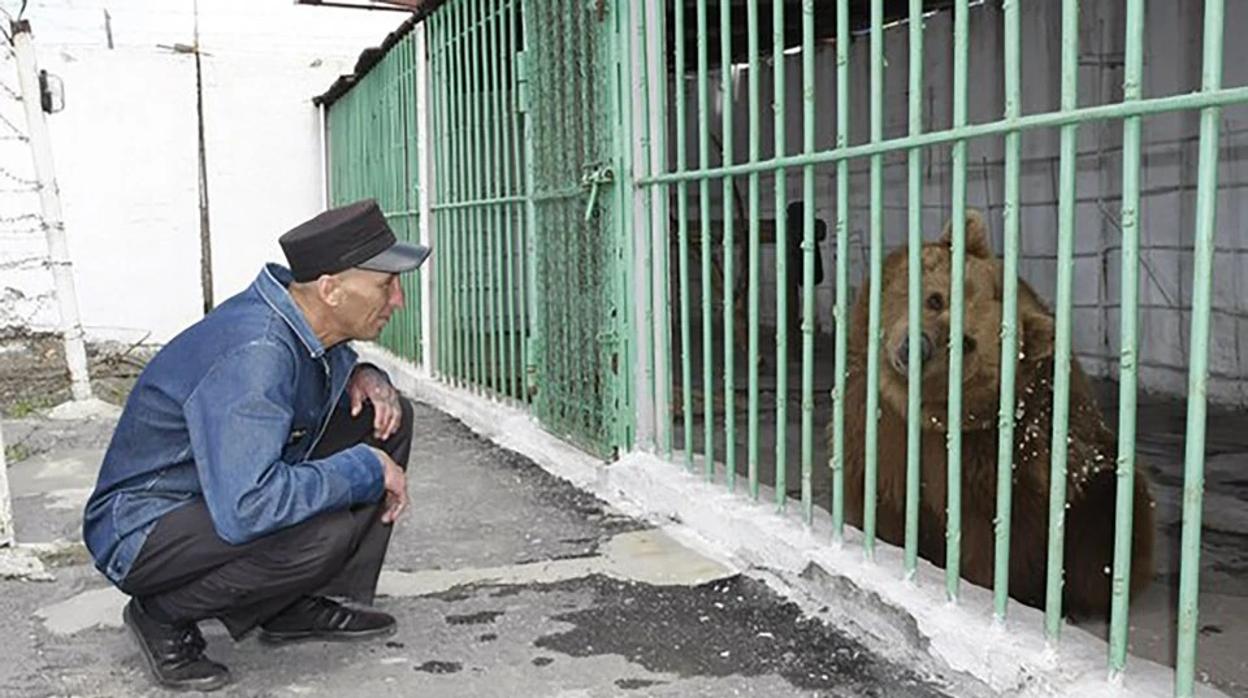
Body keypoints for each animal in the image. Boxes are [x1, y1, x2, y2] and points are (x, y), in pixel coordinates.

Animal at [833, 209, 1153, 619]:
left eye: (967, 342)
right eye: (935, 299)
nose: (916, 347)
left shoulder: (996, 463)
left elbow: (988, 540)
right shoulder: (874, 423)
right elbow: (879, 495)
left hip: (1097, 487)